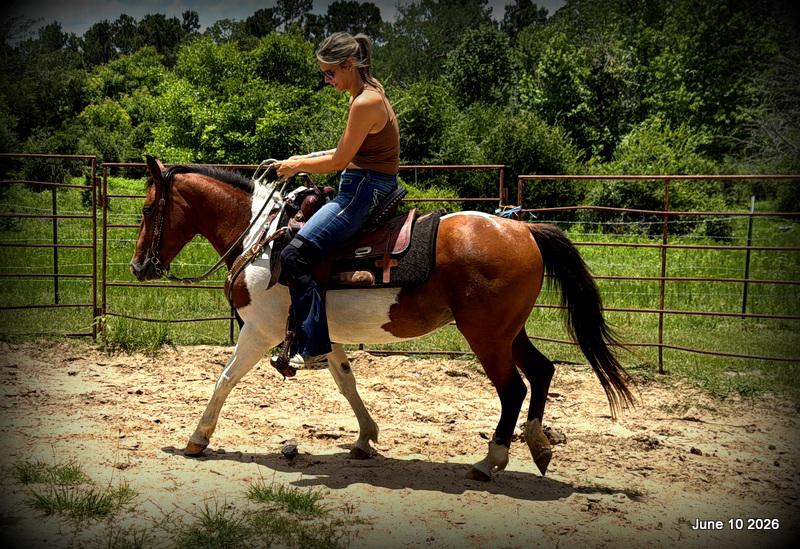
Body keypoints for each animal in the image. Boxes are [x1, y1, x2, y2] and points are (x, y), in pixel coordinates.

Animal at [129, 156, 635, 481]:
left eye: (148, 208)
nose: (138, 267)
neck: (264, 239)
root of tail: (523, 227)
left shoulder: (261, 330)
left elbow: (225, 379)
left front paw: (197, 438)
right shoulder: (321, 329)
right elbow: (345, 379)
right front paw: (365, 438)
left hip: (487, 336)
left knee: (513, 389)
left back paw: (489, 462)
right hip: (510, 331)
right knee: (543, 371)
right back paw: (539, 445)